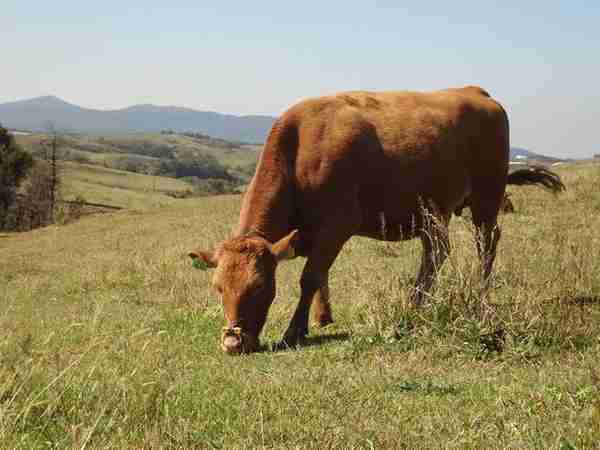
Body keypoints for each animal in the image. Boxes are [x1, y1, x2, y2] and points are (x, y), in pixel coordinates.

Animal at [190, 87, 564, 356]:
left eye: (260, 287)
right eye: (218, 287)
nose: (233, 343)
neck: (300, 150)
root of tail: (477, 92)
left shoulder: (339, 223)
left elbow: (309, 276)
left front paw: (294, 331)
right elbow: (320, 275)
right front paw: (323, 317)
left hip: (487, 198)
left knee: (485, 245)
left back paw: (477, 295)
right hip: (433, 212)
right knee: (436, 252)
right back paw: (416, 302)